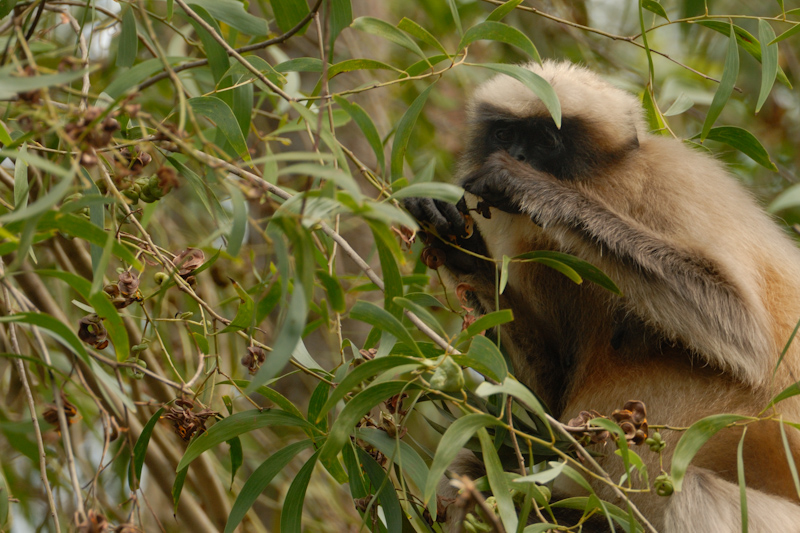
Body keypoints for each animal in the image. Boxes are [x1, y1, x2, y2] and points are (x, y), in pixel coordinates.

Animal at [406, 60, 800, 528]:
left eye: (546, 140)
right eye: (504, 134)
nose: (518, 157)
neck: (608, 183)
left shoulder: (676, 181)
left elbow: (747, 336)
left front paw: (532, 187)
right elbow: (549, 398)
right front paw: (453, 238)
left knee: (696, 493)